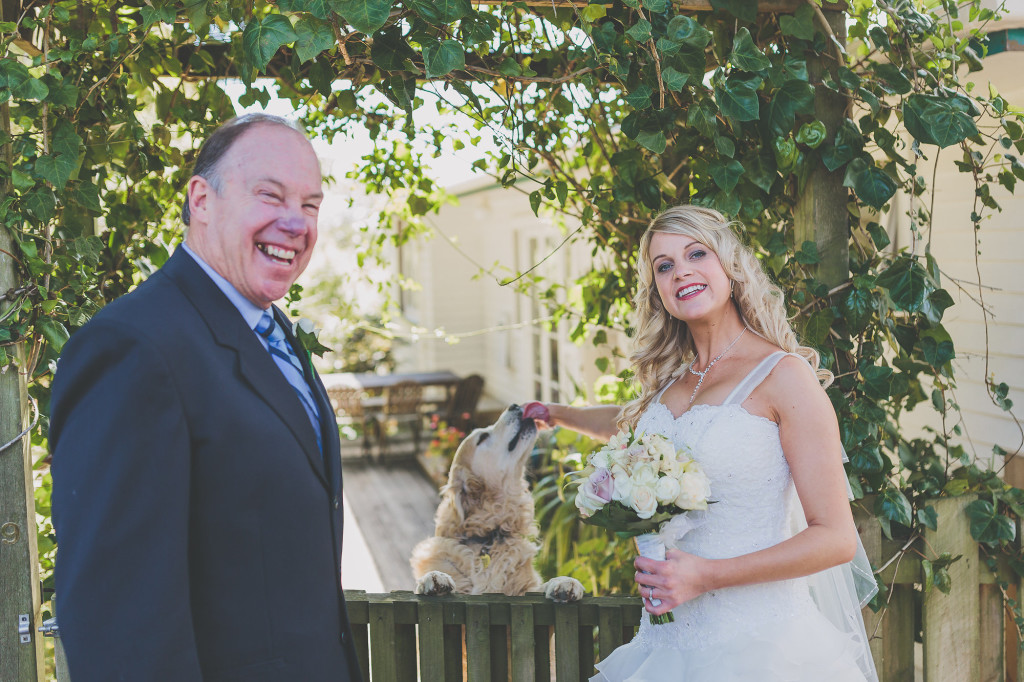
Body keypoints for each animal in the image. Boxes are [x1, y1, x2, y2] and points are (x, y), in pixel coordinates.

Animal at [409, 403, 585, 602]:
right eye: (483, 437)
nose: (514, 406)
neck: (489, 535)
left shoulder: (524, 589)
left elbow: (538, 587)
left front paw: (563, 582)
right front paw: (434, 578)